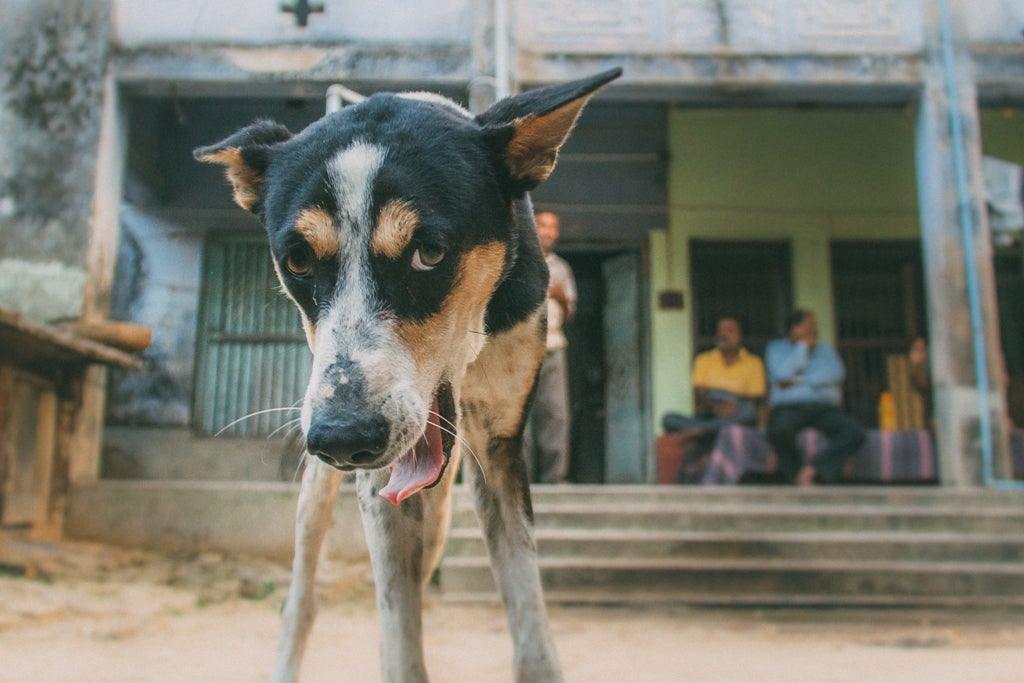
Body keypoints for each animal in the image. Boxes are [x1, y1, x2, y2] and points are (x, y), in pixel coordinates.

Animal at [195, 69, 618, 683]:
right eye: (297, 261)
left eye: (429, 253)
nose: (342, 439)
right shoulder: (371, 471)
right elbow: (398, 630)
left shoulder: (500, 445)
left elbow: (526, 612)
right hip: (317, 476)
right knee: (302, 597)